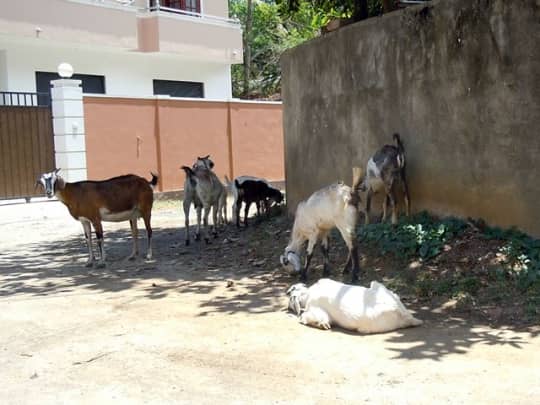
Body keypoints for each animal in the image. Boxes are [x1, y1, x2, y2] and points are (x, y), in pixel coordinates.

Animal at [286, 278, 422, 332]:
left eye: (293, 288)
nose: (288, 292)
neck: (309, 293)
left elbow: (304, 317)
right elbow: (323, 320)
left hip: (375, 284)